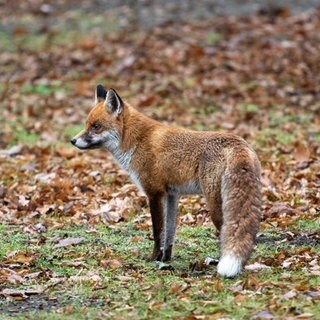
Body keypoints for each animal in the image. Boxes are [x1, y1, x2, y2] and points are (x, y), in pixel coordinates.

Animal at [71, 85, 262, 278]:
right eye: (86, 125)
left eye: (96, 126)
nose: (73, 140)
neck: (136, 141)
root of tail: (239, 143)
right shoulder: (172, 195)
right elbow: (169, 233)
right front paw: (166, 259)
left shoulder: (154, 193)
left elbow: (158, 232)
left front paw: (154, 257)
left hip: (215, 205)